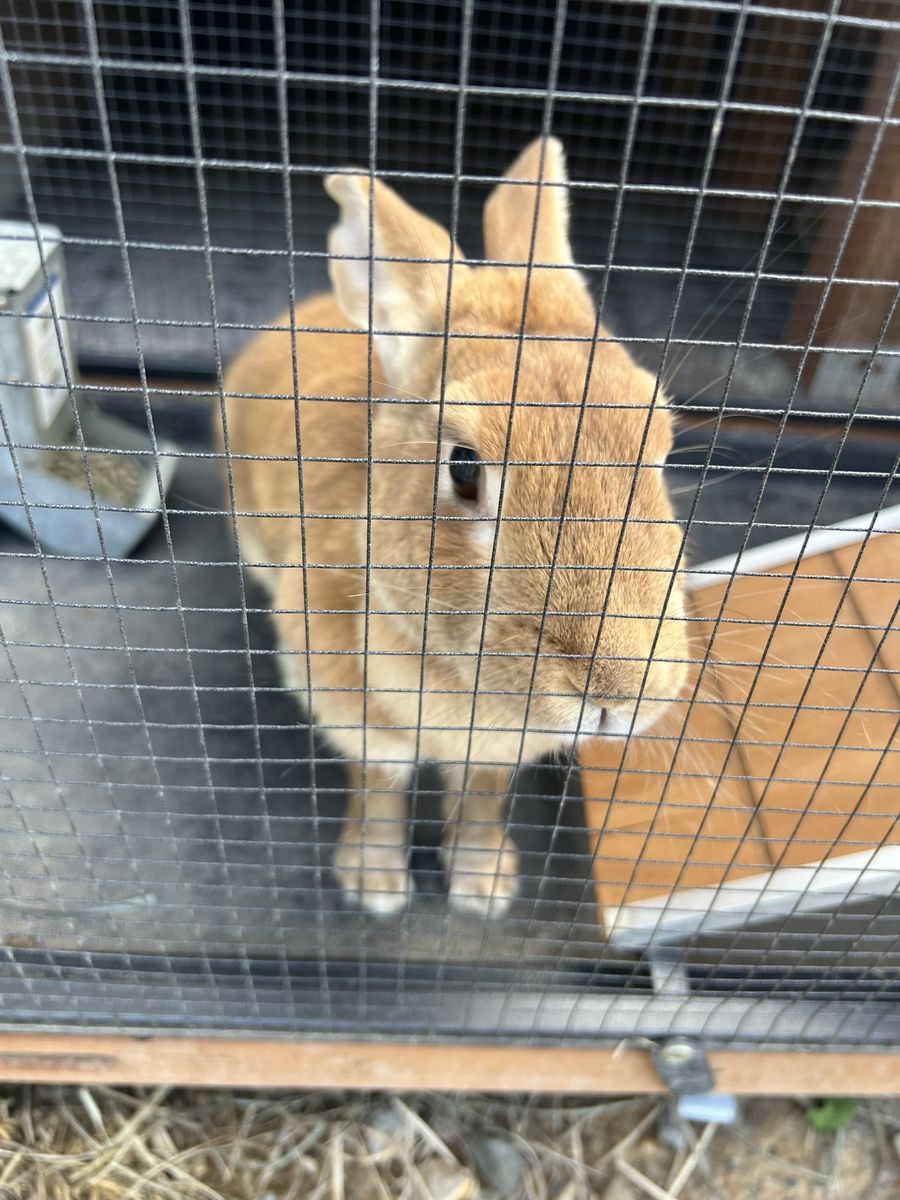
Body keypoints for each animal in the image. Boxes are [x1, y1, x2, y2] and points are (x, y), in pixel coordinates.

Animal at [222, 137, 689, 916]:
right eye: (464, 467)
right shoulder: (358, 715)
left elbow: (482, 799)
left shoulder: (498, 755)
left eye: (659, 445)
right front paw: (375, 886)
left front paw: (483, 886)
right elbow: (379, 787)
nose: (616, 696)